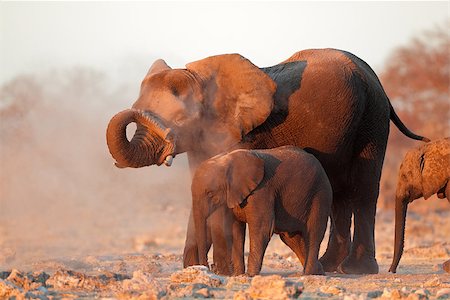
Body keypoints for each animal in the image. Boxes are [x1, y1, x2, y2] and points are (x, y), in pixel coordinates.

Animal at [192, 146, 332, 276]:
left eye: (210, 193)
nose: (209, 267)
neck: (226, 159)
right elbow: (236, 230)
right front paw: (238, 275)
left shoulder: (262, 190)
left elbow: (262, 229)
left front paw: (250, 275)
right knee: (292, 239)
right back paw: (317, 272)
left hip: (320, 195)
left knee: (313, 233)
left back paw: (309, 274)